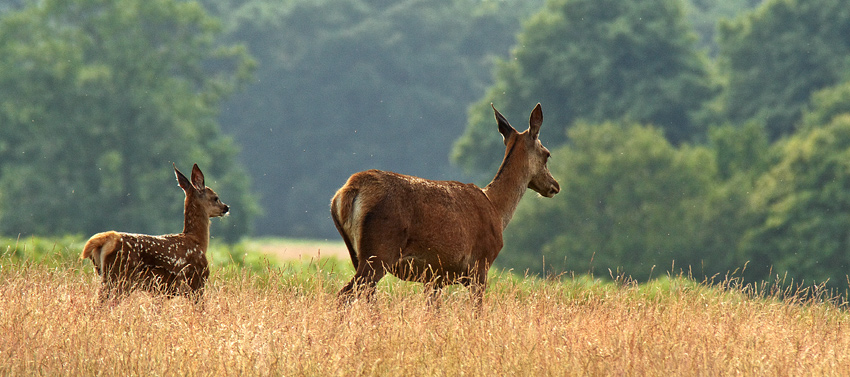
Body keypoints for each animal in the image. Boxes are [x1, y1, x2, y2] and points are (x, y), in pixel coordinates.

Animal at [80, 163, 229, 304]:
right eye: (216, 198)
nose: (226, 207)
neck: (197, 240)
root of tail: (107, 239)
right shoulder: (197, 280)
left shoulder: (162, 291)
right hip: (121, 276)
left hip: (105, 275)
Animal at [330, 102, 556, 302]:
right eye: (547, 154)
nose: (555, 185)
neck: (497, 210)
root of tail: (348, 191)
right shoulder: (480, 265)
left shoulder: (435, 276)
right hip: (379, 250)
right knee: (344, 294)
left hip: (356, 254)